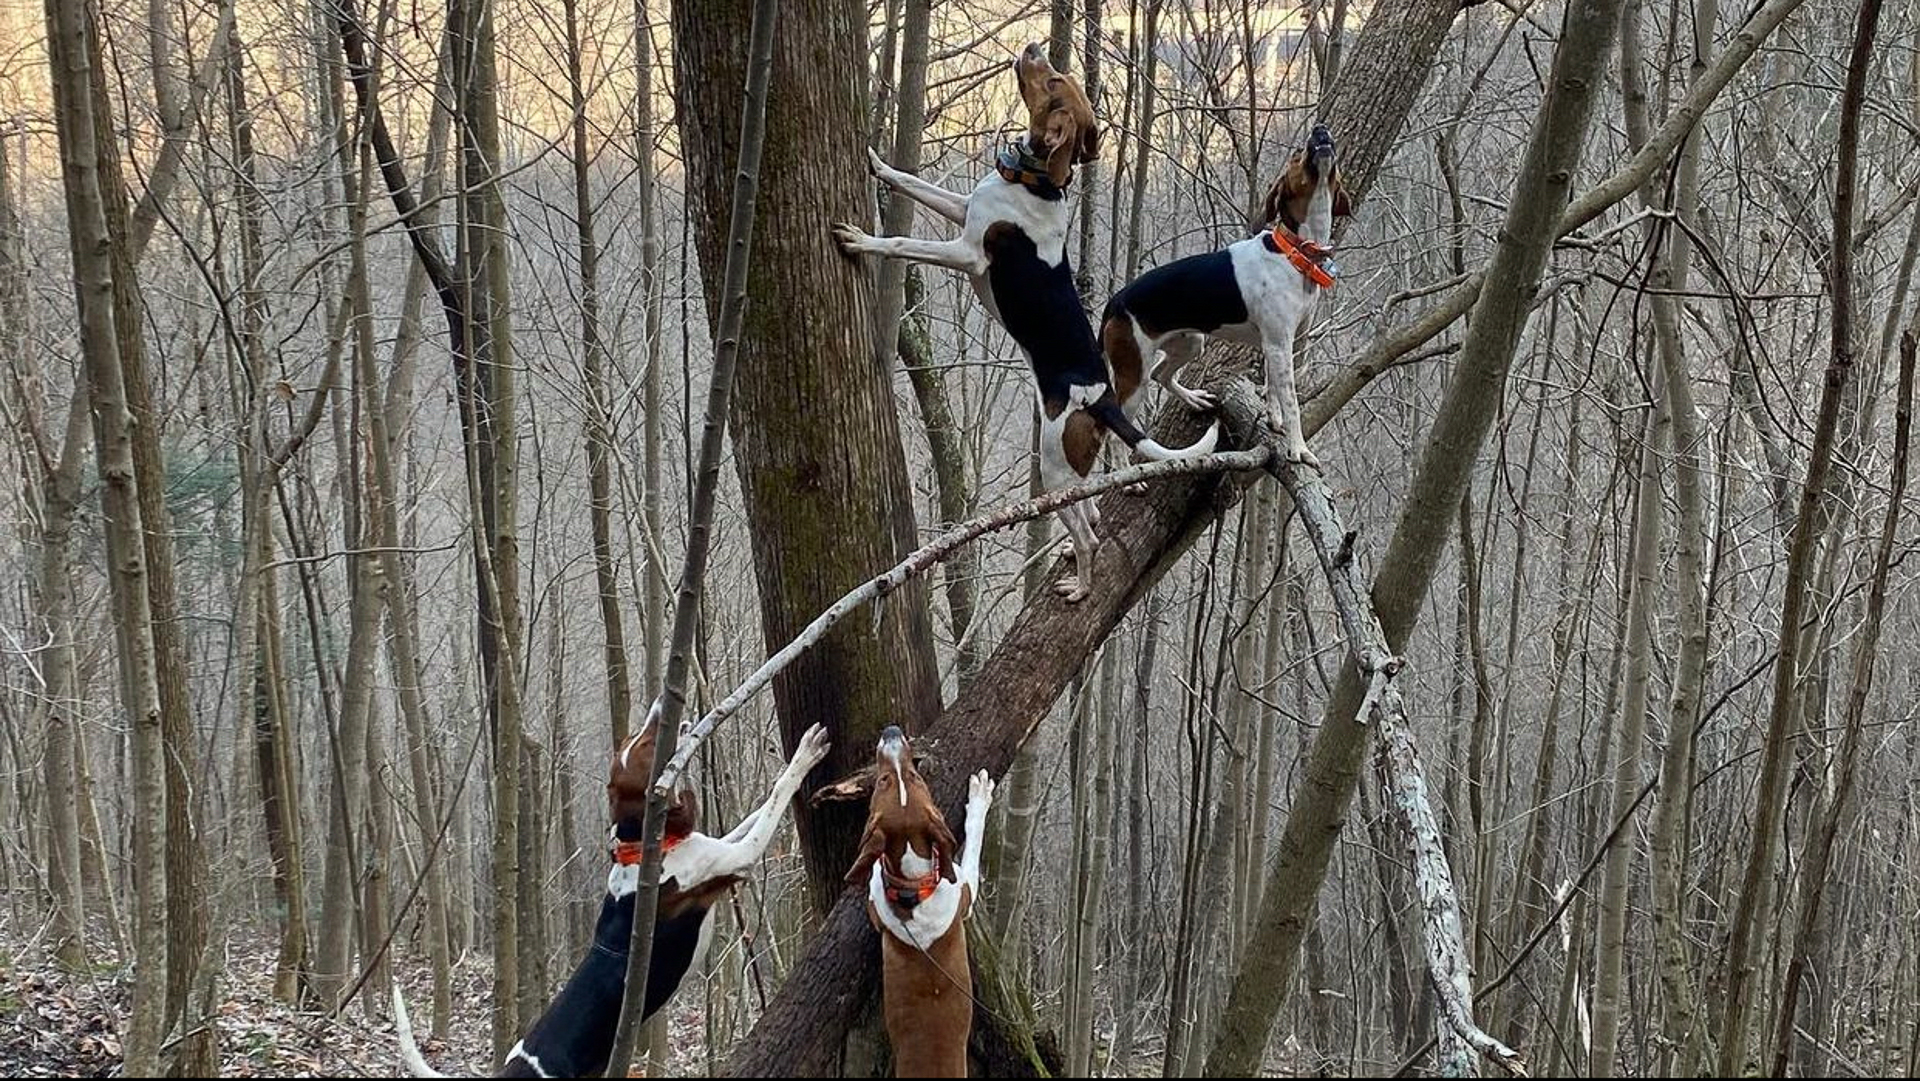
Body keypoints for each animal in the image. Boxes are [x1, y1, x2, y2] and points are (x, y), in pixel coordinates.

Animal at [393, 702, 829, 1075]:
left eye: (635, 739)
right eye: (648, 746)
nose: (660, 705)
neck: (641, 849)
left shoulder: (715, 844)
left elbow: (752, 813)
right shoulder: (738, 857)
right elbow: (775, 797)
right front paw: (803, 756)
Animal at [833, 40, 1221, 599]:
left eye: (1054, 82)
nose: (1034, 48)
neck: (1038, 183)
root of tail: (1101, 398)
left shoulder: (967, 252)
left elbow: (901, 242)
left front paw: (862, 240)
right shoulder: (963, 208)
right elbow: (910, 180)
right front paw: (877, 162)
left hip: (1055, 464)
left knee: (1089, 536)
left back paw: (1080, 586)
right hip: (1074, 468)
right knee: (1091, 515)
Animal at [848, 733, 998, 1075]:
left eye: (914, 777)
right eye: (884, 780)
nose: (891, 732)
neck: (914, 886)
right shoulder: (964, 891)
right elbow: (973, 840)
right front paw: (979, 798)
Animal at [1098, 123, 1351, 470]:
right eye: (1297, 154)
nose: (1320, 129)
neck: (1295, 252)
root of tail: (1114, 302)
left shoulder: (1283, 343)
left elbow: (1273, 388)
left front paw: (1273, 418)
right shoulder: (1279, 344)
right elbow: (1292, 402)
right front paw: (1298, 448)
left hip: (1190, 342)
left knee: (1162, 374)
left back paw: (1194, 397)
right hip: (1134, 373)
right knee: (1116, 433)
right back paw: (1127, 474)